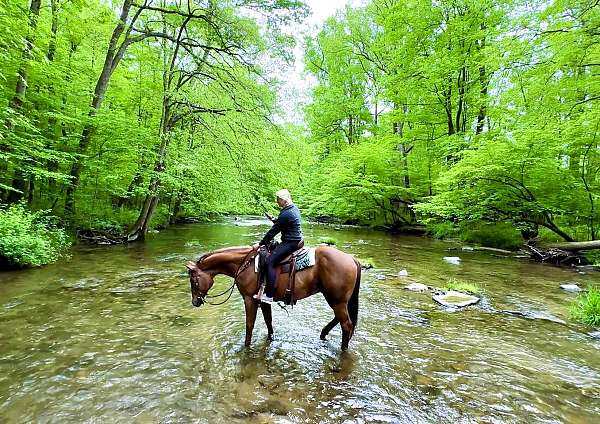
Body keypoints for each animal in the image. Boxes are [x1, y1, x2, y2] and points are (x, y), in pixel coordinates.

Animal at [184, 245, 360, 352]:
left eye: (193, 280)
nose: (195, 302)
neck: (244, 264)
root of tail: (351, 259)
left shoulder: (249, 299)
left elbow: (249, 324)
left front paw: (246, 347)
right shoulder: (263, 300)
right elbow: (268, 320)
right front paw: (271, 339)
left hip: (337, 300)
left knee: (346, 324)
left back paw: (343, 349)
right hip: (335, 299)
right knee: (341, 320)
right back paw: (323, 334)